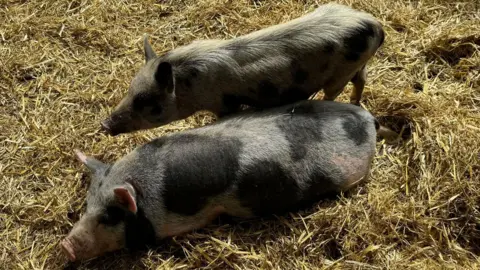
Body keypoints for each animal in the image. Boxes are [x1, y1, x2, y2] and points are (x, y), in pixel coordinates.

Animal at [101, 2, 386, 135]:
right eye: (129, 91)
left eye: (148, 104)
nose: (105, 124)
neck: (189, 82)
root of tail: (375, 25)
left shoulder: (224, 102)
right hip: (357, 65)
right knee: (361, 80)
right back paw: (356, 100)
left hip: (340, 74)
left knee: (335, 92)